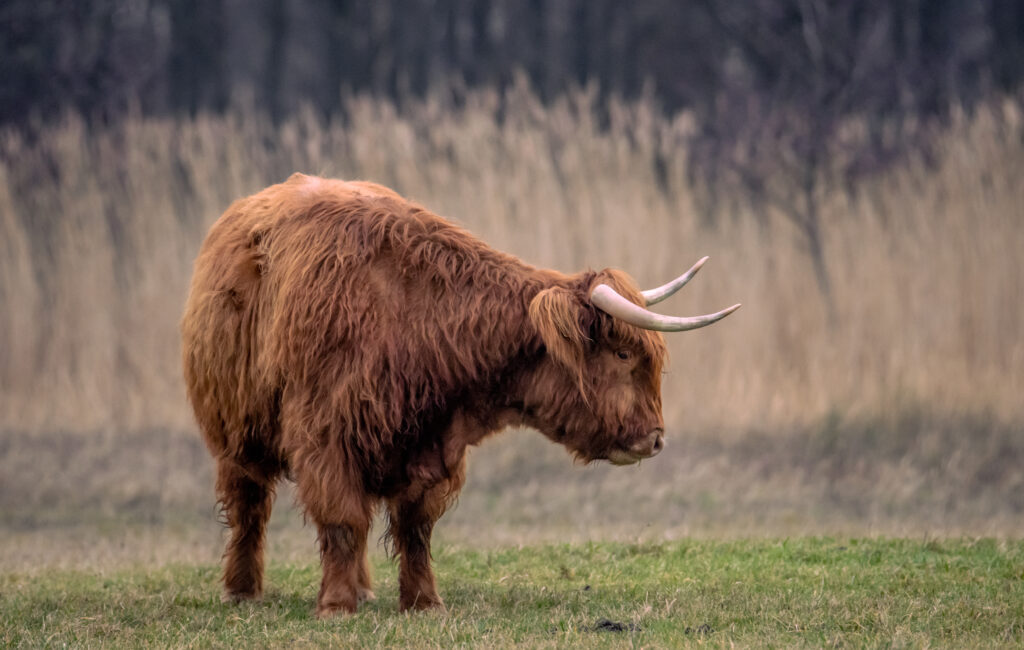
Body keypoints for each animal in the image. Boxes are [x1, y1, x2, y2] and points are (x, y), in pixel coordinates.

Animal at [182, 171, 737, 614]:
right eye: (623, 355)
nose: (655, 439)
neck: (418, 321)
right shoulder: (326, 436)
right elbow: (341, 519)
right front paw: (336, 606)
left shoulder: (433, 449)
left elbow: (415, 528)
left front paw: (423, 602)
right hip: (237, 427)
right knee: (249, 505)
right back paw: (242, 590)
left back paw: (362, 588)